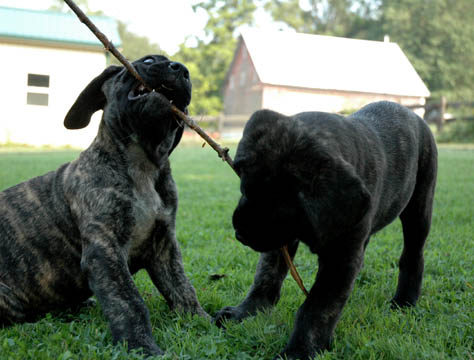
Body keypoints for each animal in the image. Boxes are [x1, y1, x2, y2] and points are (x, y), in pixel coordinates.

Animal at [0, 54, 207, 356]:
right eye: (148, 60)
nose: (181, 70)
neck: (143, 165)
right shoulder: (105, 249)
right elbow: (128, 301)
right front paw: (140, 346)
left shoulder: (164, 247)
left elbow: (182, 289)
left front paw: (204, 321)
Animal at [215, 101, 436, 360]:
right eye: (245, 187)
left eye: (282, 204)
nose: (240, 232)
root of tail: (413, 114)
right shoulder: (281, 243)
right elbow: (266, 276)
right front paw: (245, 312)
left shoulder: (340, 260)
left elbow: (318, 305)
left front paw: (300, 349)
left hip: (419, 207)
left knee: (413, 254)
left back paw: (404, 301)